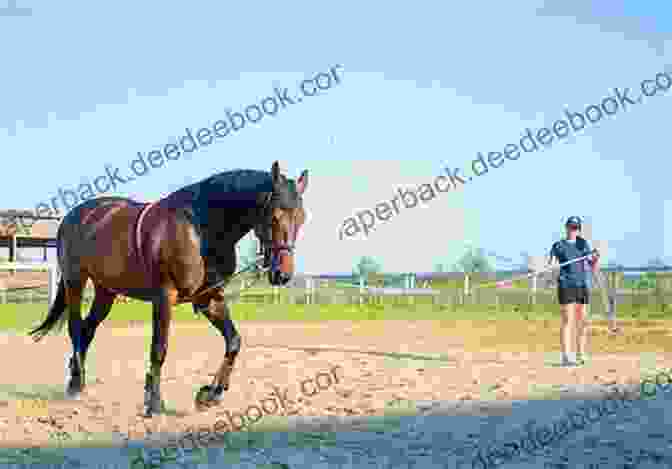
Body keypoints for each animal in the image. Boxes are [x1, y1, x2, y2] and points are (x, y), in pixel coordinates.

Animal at [28, 162, 308, 416]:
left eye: (301, 218)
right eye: (274, 216)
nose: (282, 274)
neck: (200, 229)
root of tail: (75, 215)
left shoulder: (209, 298)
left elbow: (233, 341)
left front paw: (210, 394)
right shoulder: (164, 298)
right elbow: (159, 349)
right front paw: (154, 403)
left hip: (106, 291)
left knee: (87, 330)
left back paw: (77, 382)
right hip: (75, 281)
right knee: (76, 328)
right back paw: (75, 383)